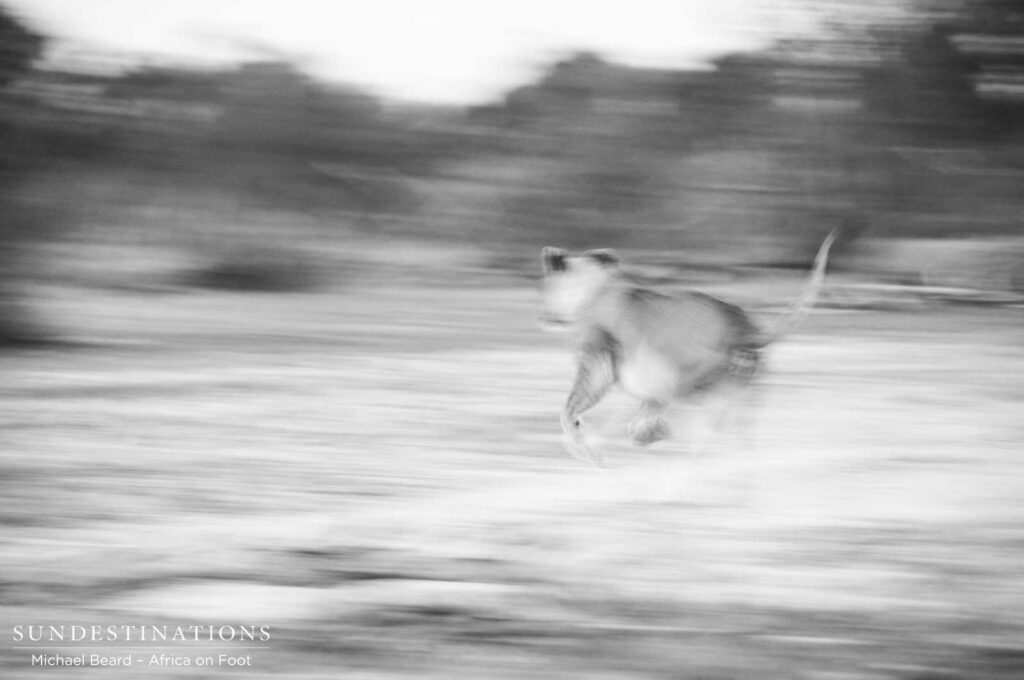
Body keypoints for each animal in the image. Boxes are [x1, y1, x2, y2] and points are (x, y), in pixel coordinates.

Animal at [538, 231, 836, 465]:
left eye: (546, 286)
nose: (546, 317)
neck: (593, 289)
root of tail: (743, 326)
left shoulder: (597, 365)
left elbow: (569, 412)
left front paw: (587, 447)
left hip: (684, 378)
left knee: (676, 422)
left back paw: (654, 444)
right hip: (738, 401)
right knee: (727, 439)